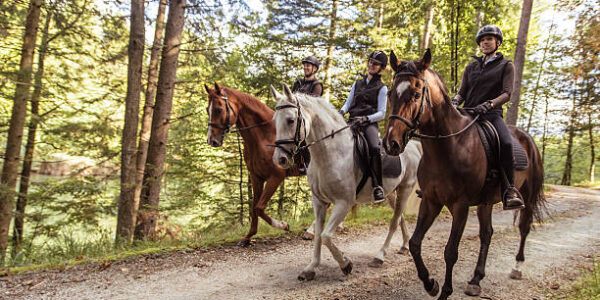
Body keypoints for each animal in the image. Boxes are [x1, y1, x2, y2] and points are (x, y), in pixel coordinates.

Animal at [206, 82, 302, 246]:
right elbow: (254, 207)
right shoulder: (256, 177)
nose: (211, 140)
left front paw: (283, 225)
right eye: (208, 109)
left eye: (219, 109)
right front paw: (248, 236)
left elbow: (259, 208)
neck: (263, 136)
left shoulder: (276, 177)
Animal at [272, 83, 422, 280]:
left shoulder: (344, 203)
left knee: (394, 222)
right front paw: (311, 268)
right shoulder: (319, 202)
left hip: (405, 189)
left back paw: (380, 256)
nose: (279, 159)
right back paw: (404, 246)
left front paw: (345, 264)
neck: (330, 153)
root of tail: (413, 146)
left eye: (290, 120)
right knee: (400, 218)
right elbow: (319, 235)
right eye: (275, 121)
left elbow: (326, 236)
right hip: (390, 193)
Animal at [382, 50, 548, 298]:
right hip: (486, 202)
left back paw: (517, 267)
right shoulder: (431, 201)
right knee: (487, 234)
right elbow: (415, 243)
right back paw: (476, 279)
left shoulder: (460, 206)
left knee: (524, 227)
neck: (450, 145)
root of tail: (527, 138)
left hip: (526, 197)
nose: (391, 143)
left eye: (416, 94)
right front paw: (430, 284)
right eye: (391, 93)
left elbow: (451, 251)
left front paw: (445, 291)